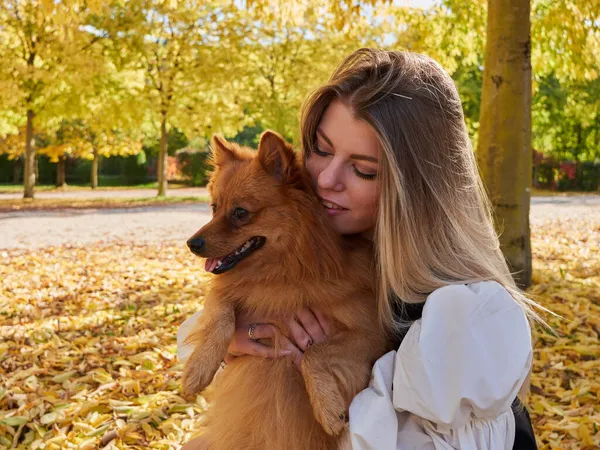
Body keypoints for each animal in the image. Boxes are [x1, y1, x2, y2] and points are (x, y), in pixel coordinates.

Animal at [180, 131, 386, 450]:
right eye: (214, 208)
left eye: (240, 213)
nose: (192, 243)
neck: (284, 273)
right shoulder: (225, 293)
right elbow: (220, 318)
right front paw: (198, 368)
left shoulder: (372, 333)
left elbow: (314, 354)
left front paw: (327, 408)